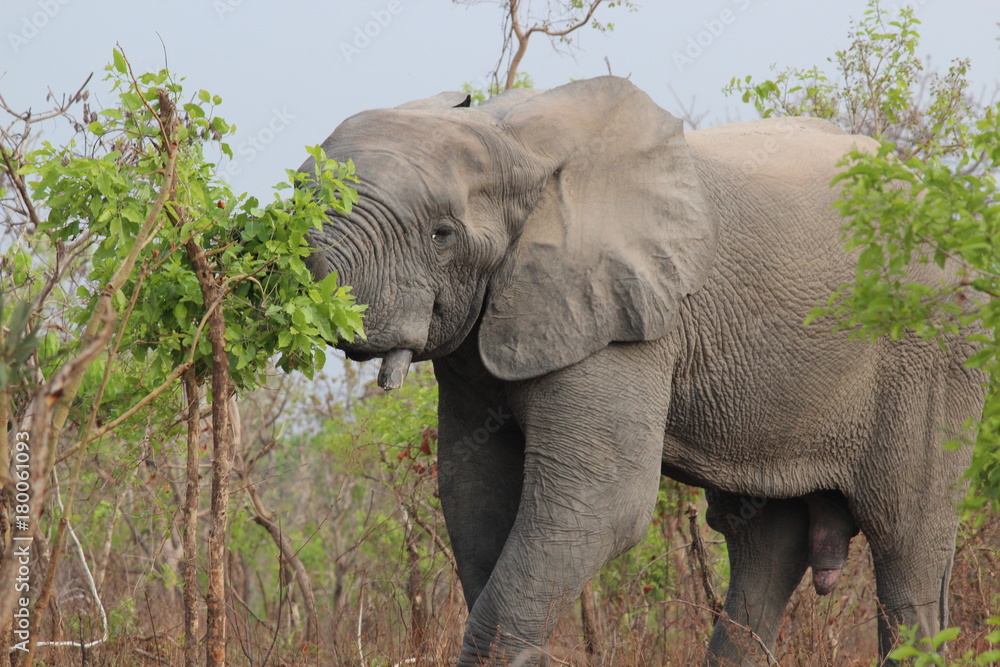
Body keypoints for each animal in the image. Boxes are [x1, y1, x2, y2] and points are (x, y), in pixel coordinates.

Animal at [298, 76, 985, 665]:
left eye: (443, 234)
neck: (514, 139)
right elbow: (474, 491)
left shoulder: (621, 318)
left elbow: (603, 503)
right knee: (764, 542)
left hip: (934, 353)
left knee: (907, 542)